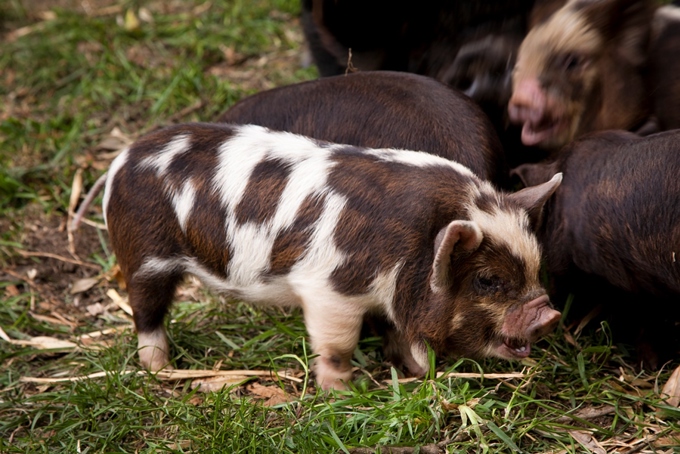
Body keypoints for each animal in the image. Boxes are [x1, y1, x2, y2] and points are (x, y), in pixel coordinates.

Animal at [104, 122, 562, 390]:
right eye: (488, 279)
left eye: (537, 269)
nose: (549, 314)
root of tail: (123, 159)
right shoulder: (329, 289)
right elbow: (337, 344)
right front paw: (344, 391)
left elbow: (398, 332)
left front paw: (412, 372)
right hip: (144, 255)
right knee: (146, 311)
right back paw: (159, 368)